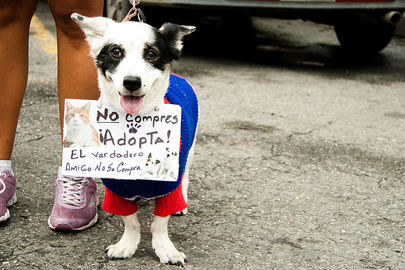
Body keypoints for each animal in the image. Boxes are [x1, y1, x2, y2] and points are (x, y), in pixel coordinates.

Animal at [71, 12, 197, 266]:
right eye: (115, 51)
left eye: (152, 53)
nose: (132, 82)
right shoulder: (117, 186)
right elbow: (129, 220)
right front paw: (127, 244)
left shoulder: (168, 184)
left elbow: (161, 222)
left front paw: (165, 248)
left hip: (190, 153)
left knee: (186, 178)